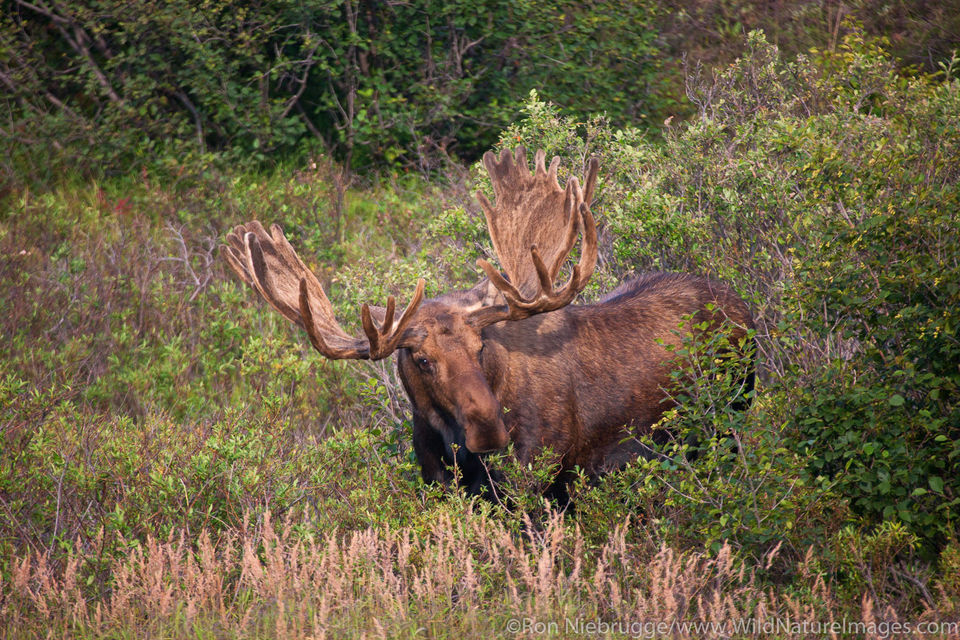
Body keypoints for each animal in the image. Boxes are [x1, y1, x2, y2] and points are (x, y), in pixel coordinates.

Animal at [221, 147, 755, 502]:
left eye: (481, 346)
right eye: (421, 359)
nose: (491, 430)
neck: (453, 449)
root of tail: (742, 305)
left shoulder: (541, 481)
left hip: (730, 418)